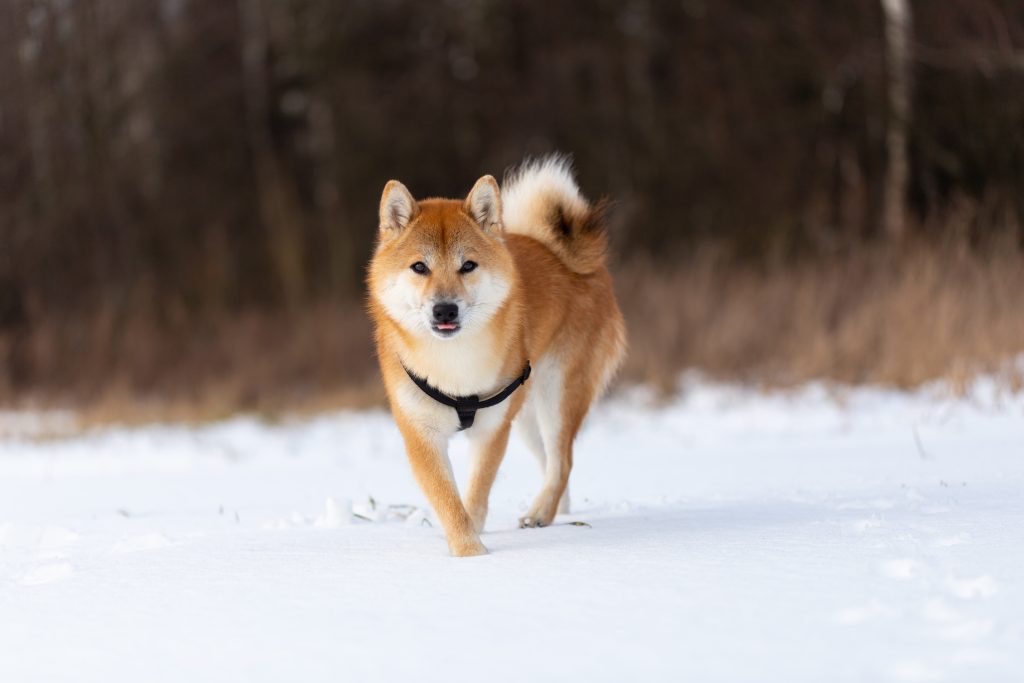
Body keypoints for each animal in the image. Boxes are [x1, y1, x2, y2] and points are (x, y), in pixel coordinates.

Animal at [368, 157, 622, 557]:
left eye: (468, 266)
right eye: (419, 267)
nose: (445, 309)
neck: (453, 364)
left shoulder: (492, 429)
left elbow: (475, 490)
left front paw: (474, 549)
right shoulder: (421, 434)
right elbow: (447, 498)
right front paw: (468, 549)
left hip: (556, 393)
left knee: (563, 460)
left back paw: (541, 513)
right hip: (526, 416)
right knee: (552, 460)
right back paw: (556, 508)